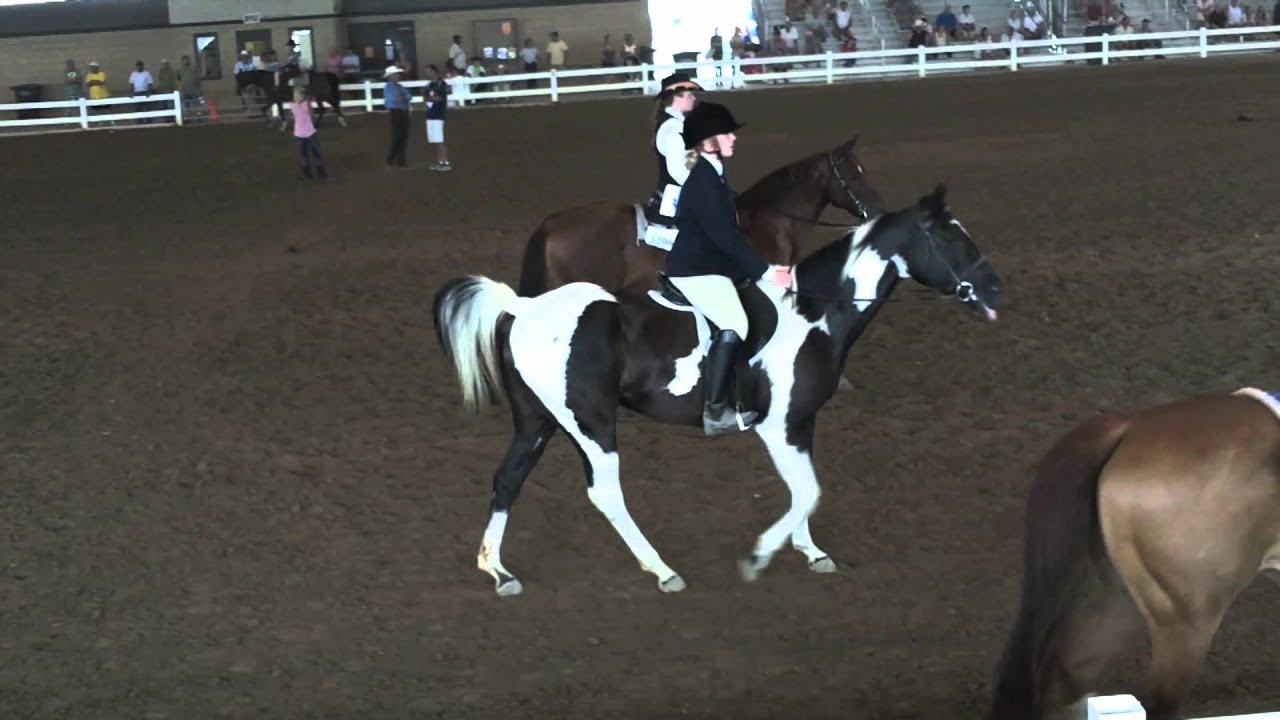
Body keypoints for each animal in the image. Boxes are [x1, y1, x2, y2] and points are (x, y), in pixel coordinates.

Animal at [433, 183, 1002, 597]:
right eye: (952, 239)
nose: (995, 289)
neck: (813, 312)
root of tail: (525, 307)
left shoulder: (801, 421)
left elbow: (805, 490)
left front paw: (811, 552)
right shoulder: (776, 426)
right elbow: (808, 491)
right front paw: (759, 556)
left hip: (539, 421)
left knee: (509, 479)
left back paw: (499, 572)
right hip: (590, 422)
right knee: (605, 492)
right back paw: (662, 570)